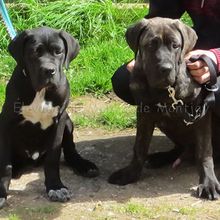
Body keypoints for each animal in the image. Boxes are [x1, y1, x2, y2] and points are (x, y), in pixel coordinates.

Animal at [0, 26, 99, 207]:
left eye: (58, 51)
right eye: (34, 52)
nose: (49, 70)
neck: (41, 92)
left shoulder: (59, 122)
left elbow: (53, 158)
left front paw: (56, 187)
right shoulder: (5, 122)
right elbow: (5, 165)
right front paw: (1, 193)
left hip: (68, 122)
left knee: (70, 150)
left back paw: (84, 165)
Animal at [108, 18, 220, 200]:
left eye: (175, 45)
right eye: (151, 45)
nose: (165, 68)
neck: (165, 90)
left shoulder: (200, 112)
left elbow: (204, 151)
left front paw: (208, 183)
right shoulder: (144, 113)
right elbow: (140, 147)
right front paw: (130, 174)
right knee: (181, 148)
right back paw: (159, 158)